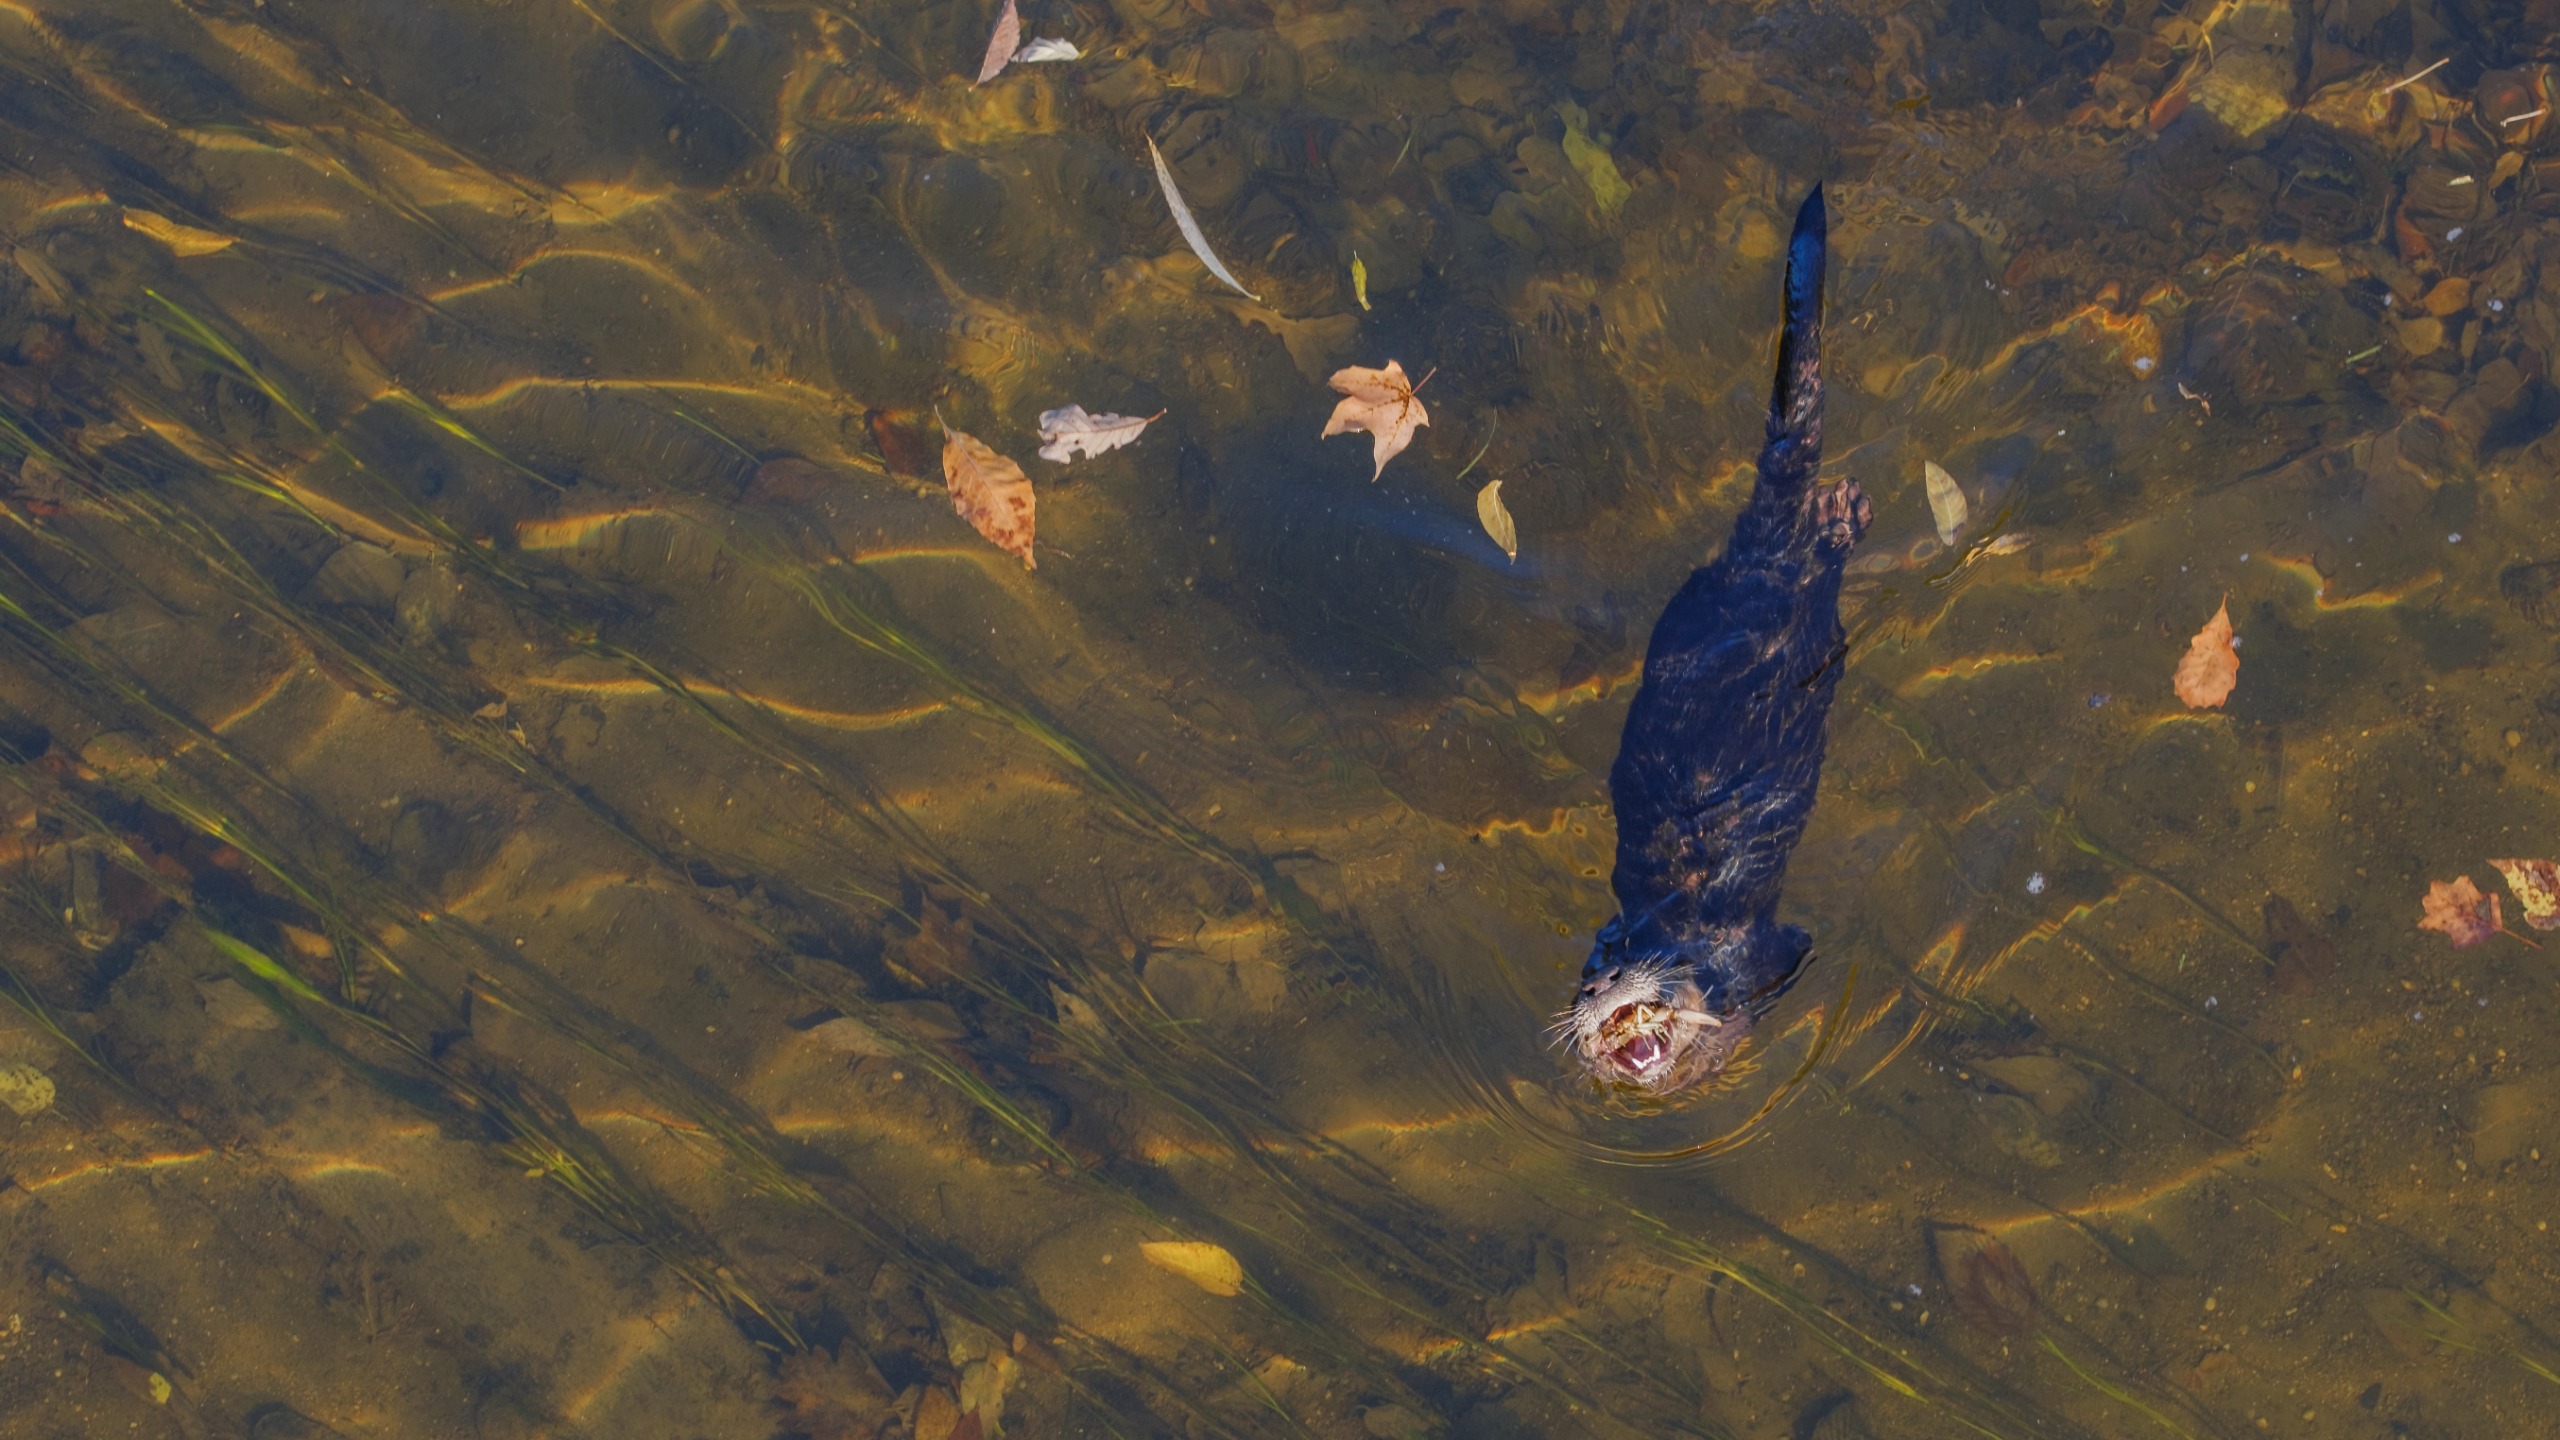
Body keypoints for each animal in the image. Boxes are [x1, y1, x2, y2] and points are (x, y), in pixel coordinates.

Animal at [1560, 187, 1868, 1094]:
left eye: (1631, 968)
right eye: (1585, 982)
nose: (1607, 991)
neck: (1688, 943)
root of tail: (1751, 553)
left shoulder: (1762, 954)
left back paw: (1842, 507)